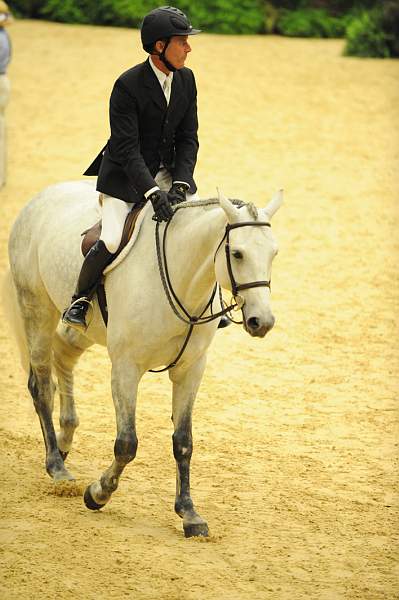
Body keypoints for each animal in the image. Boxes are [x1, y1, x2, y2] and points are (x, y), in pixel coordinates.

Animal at [4, 183, 282, 540]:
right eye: (237, 254)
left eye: (273, 254)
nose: (263, 322)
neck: (180, 277)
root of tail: (40, 197)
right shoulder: (125, 367)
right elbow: (127, 443)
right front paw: (98, 493)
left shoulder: (190, 370)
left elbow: (183, 442)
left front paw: (189, 514)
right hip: (36, 307)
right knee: (41, 384)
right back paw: (57, 465)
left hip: (86, 329)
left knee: (63, 353)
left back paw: (65, 440)